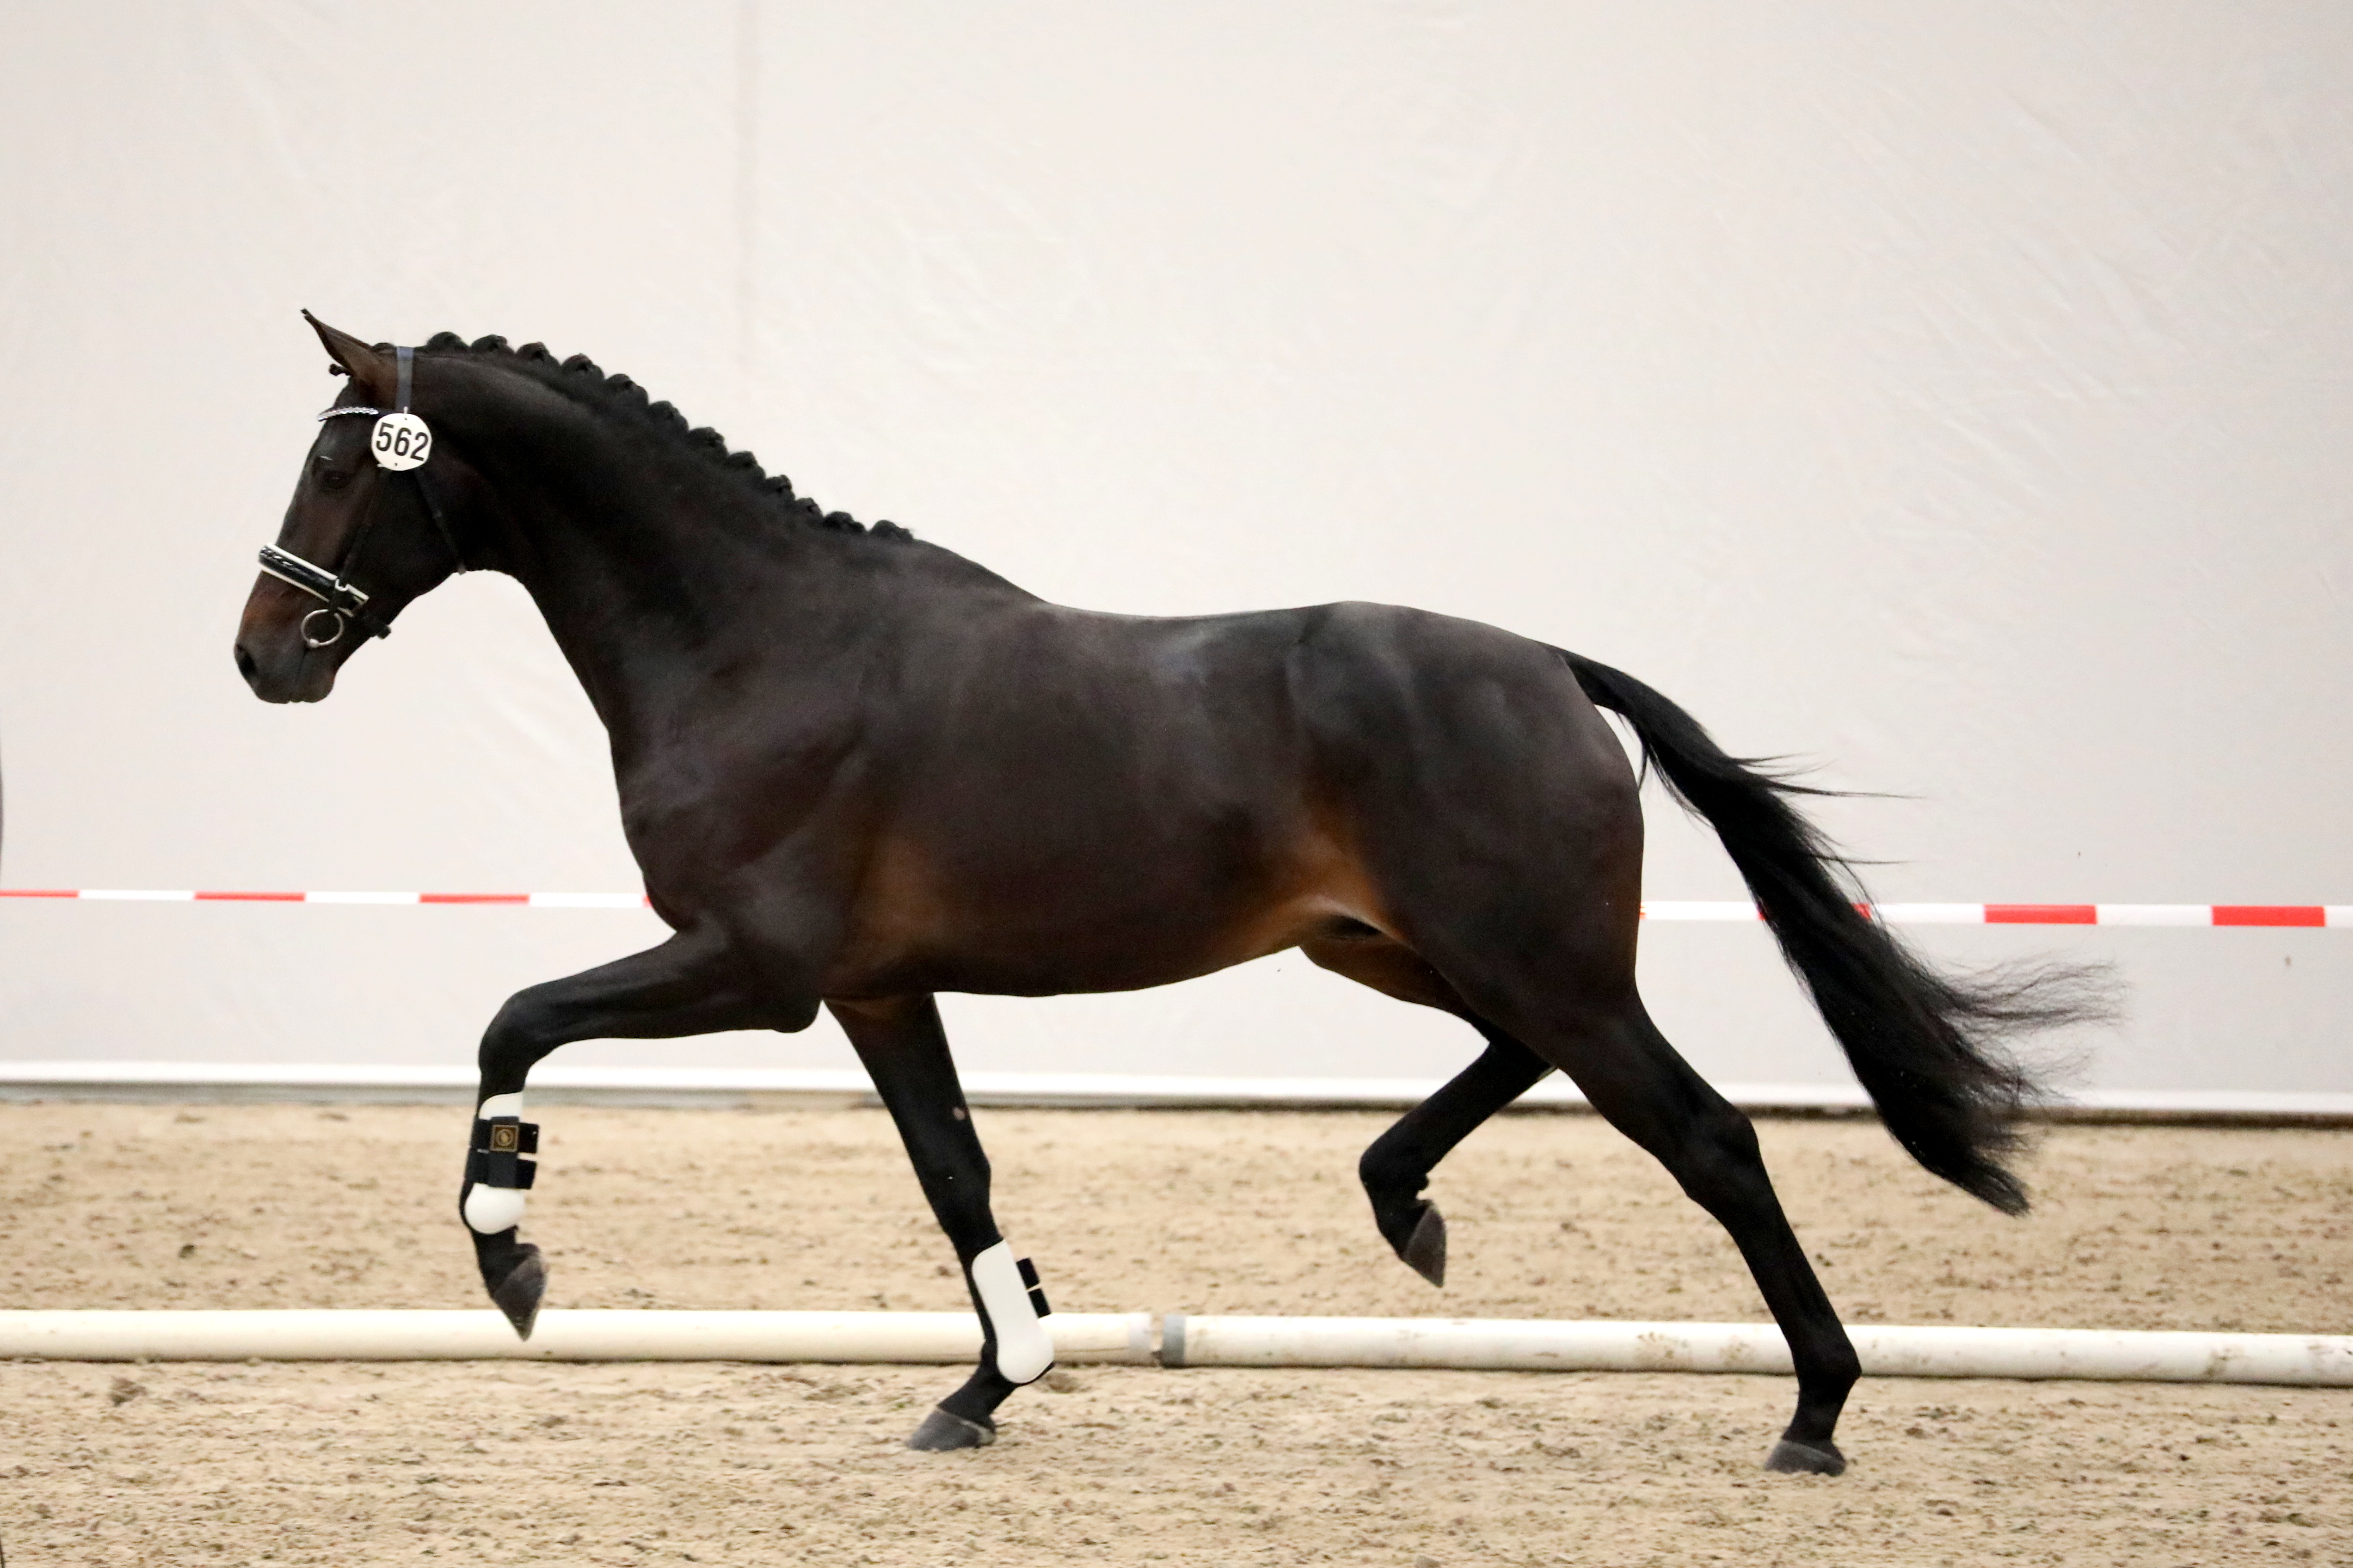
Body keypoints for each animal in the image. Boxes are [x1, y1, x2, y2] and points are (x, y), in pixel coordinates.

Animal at [236, 314, 2101, 1472]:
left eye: (344, 467)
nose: (264, 658)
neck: (755, 640)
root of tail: (1551, 670)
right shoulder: (875, 988)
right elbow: (956, 1174)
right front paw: (991, 1384)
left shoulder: (752, 968)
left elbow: (513, 1020)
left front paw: (510, 1257)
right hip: (1408, 952)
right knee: (1530, 1070)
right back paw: (1403, 1200)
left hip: (1529, 960)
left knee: (1708, 1137)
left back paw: (1814, 1411)